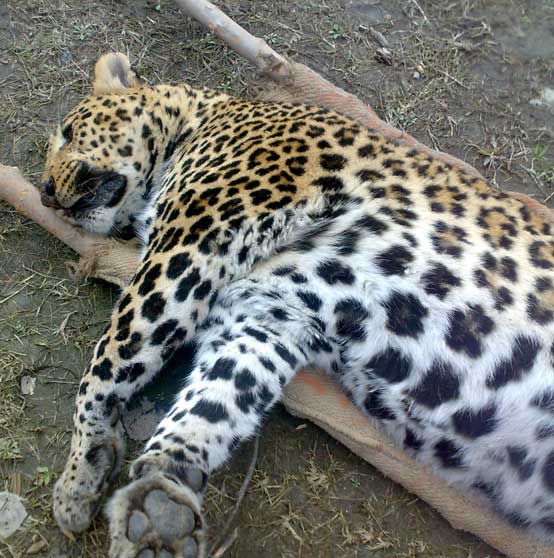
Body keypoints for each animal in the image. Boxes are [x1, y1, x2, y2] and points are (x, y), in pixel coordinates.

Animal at [43, 53, 554, 558]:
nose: (46, 191)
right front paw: (158, 499)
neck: (201, 119)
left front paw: (78, 473)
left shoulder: (190, 246)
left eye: (67, 131)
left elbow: (109, 359)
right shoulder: (266, 323)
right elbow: (213, 401)